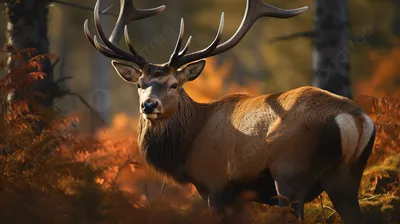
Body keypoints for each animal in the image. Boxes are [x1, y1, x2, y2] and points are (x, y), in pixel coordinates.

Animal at [83, 0, 376, 222]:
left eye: (174, 84)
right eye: (140, 84)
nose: (149, 105)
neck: (187, 146)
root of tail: (356, 119)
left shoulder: (215, 184)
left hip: (291, 175)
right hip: (348, 176)